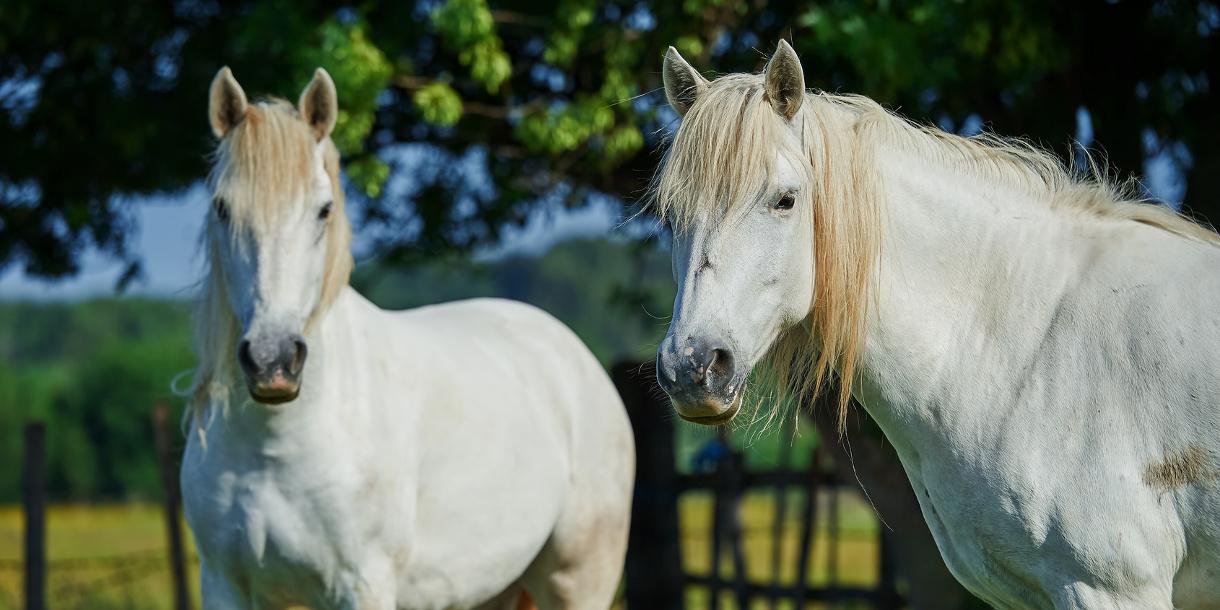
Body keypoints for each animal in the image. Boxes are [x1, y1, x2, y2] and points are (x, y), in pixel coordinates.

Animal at [181, 66, 639, 610]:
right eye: (222, 208)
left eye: (323, 210)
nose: (273, 361)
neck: (277, 446)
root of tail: (573, 353)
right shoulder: (223, 585)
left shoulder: (364, 584)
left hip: (578, 578)